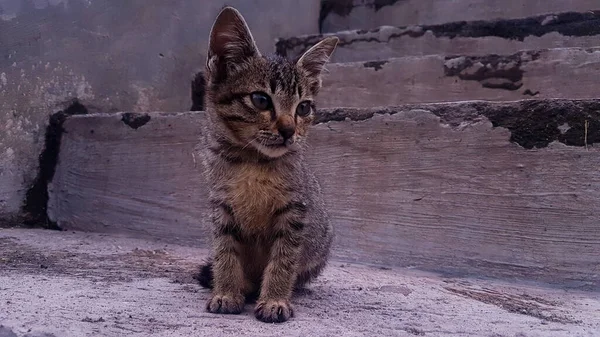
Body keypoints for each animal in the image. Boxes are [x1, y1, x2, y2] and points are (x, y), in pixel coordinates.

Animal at [197, 5, 338, 322]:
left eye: (303, 108)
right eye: (261, 100)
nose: (288, 131)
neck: (254, 162)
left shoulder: (295, 212)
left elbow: (283, 260)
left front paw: (274, 299)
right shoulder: (220, 208)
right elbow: (225, 254)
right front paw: (226, 292)